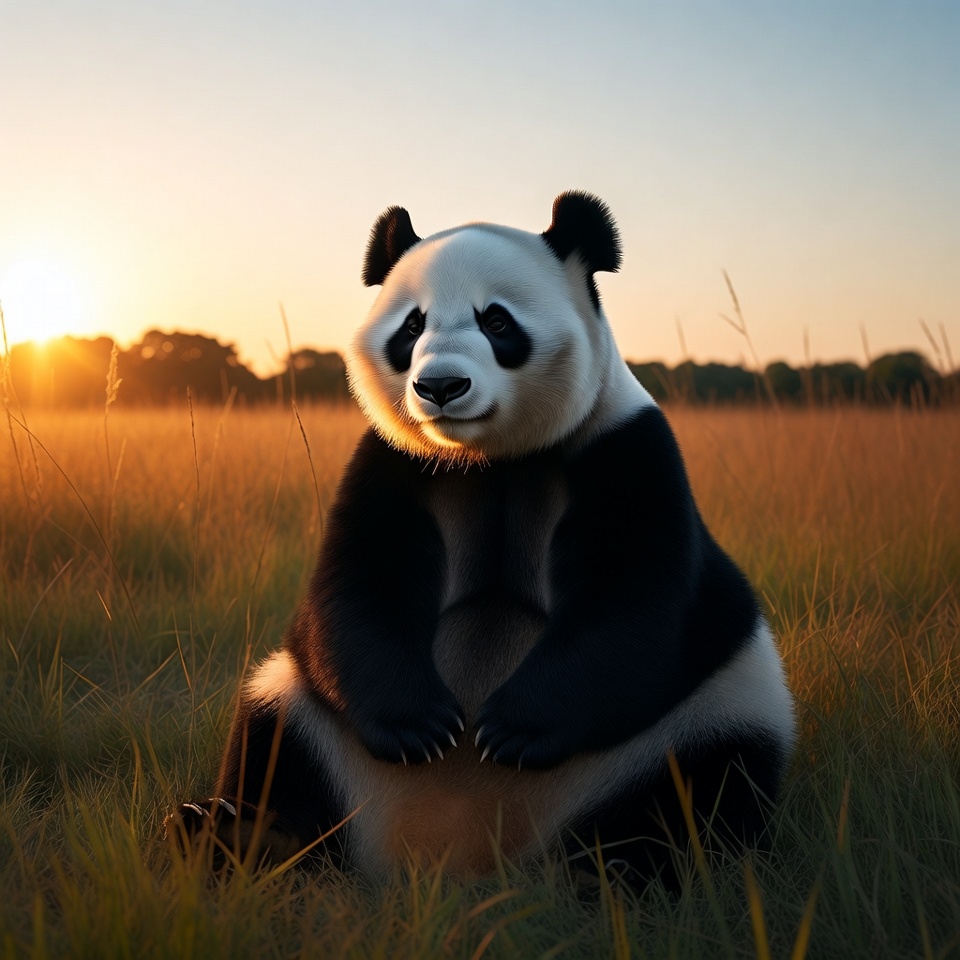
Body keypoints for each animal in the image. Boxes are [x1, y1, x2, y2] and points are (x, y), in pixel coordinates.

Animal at [170, 192, 796, 886]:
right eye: (410, 328)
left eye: (497, 321)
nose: (440, 387)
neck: (488, 458)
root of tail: (451, 858)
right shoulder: (395, 465)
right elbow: (356, 591)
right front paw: (419, 727)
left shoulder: (623, 450)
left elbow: (634, 604)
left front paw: (512, 729)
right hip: (308, 717)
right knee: (272, 742)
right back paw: (231, 833)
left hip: (700, 719)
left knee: (707, 786)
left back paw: (626, 869)